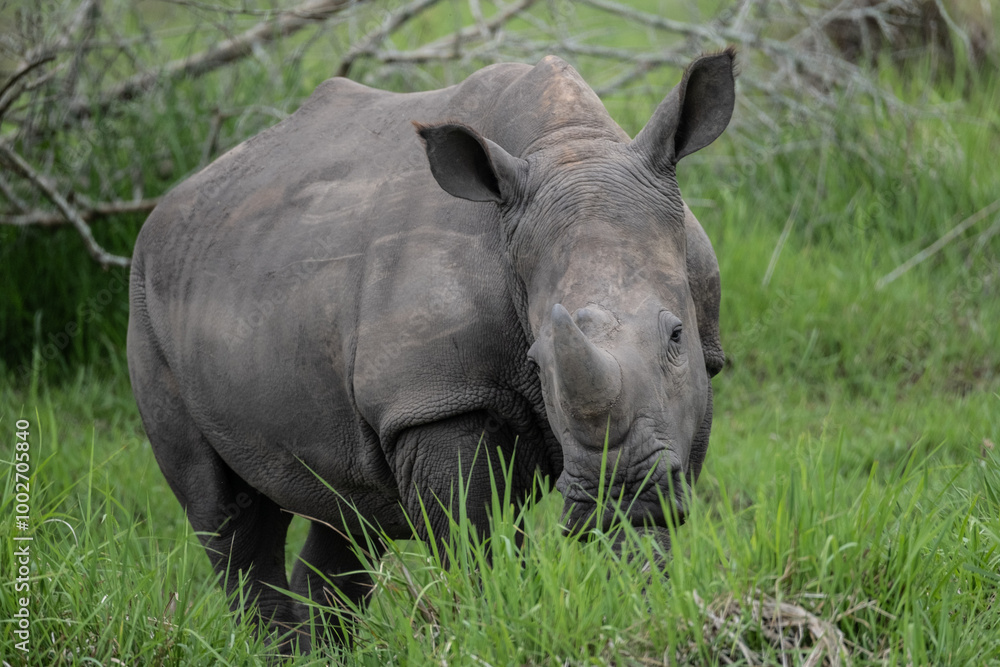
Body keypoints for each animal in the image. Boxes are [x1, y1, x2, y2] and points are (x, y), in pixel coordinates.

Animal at [127, 49, 734, 651]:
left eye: (676, 337)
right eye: (537, 364)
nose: (617, 489)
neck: (570, 146)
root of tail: (163, 209)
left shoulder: (693, 382)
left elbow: (645, 534)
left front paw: (642, 611)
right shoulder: (433, 399)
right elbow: (472, 538)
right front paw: (493, 629)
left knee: (347, 513)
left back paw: (319, 651)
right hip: (146, 297)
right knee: (227, 514)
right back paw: (273, 648)